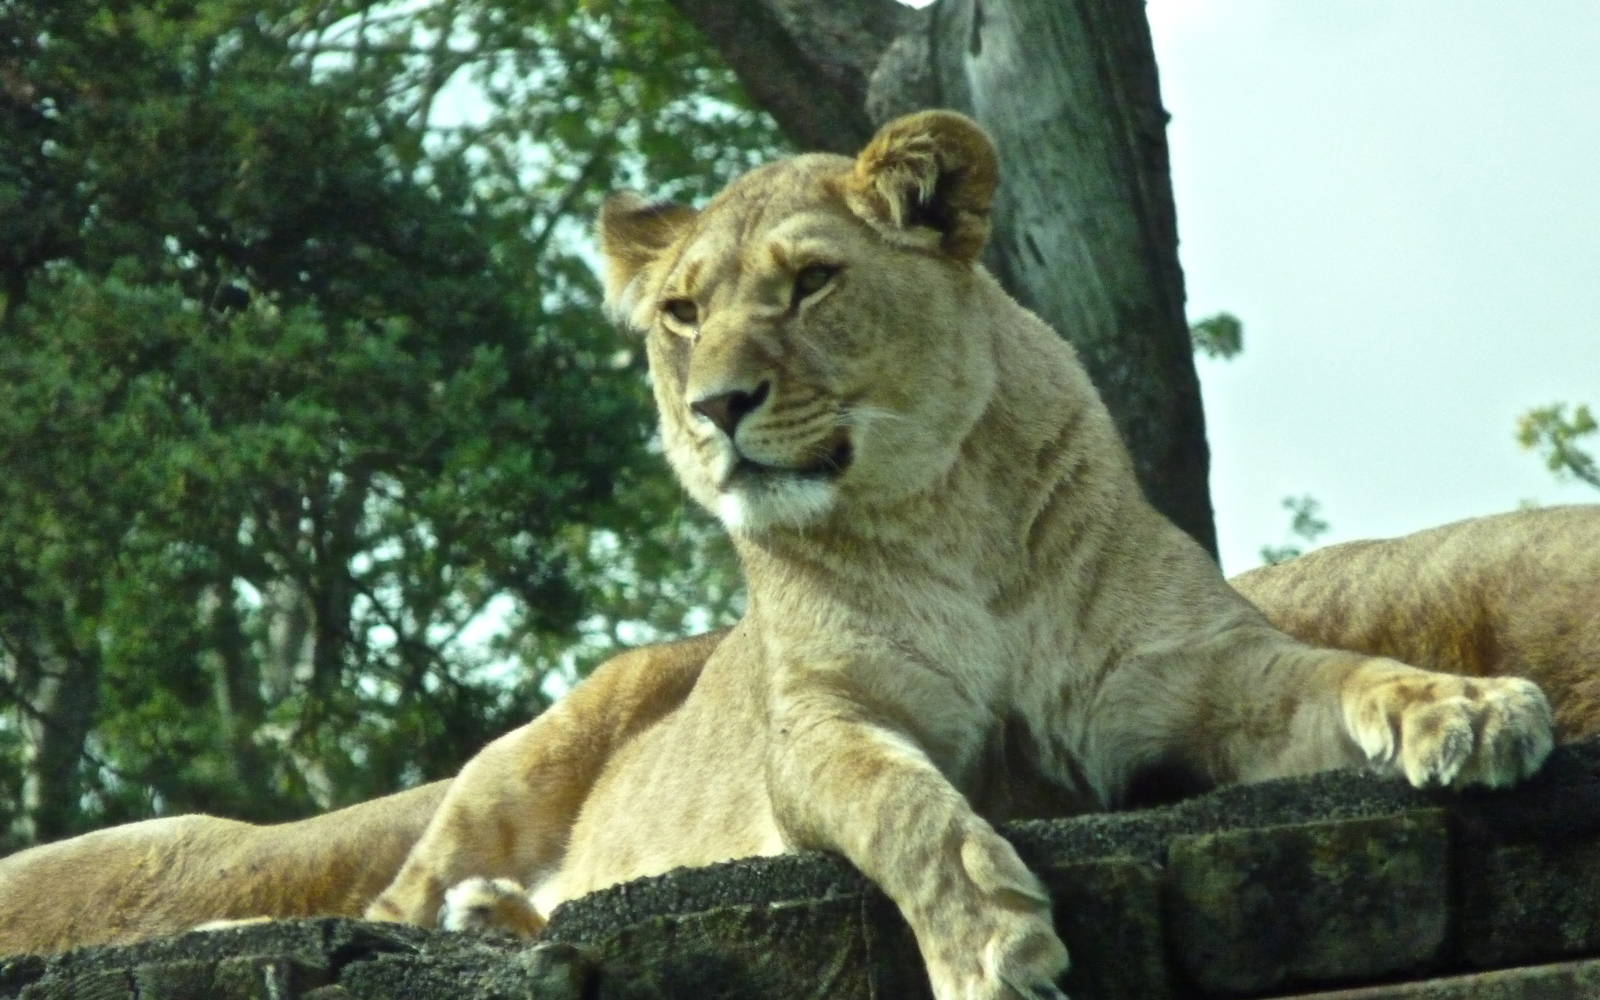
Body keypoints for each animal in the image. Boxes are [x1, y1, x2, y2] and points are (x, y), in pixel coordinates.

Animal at [361, 112, 1555, 1000]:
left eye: (810, 284)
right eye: (683, 313)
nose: (715, 407)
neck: (946, 512)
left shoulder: (1206, 669)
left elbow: (1346, 668)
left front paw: (1473, 706)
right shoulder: (814, 729)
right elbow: (903, 805)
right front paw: (991, 941)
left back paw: (498, 912)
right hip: (531, 750)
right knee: (389, 900)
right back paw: (462, 913)